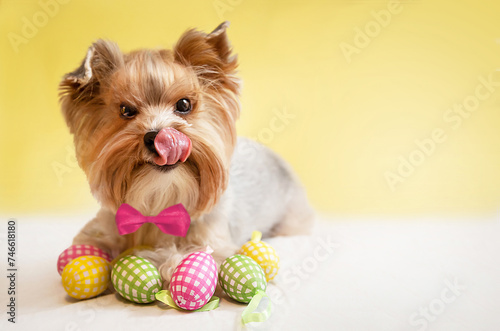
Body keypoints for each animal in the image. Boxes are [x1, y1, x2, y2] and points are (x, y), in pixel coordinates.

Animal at [60, 22, 314, 290]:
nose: (157, 137)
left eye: (183, 105)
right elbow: (91, 242)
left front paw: (156, 259)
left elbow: (187, 258)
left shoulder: (216, 242)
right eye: (126, 110)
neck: (160, 203)